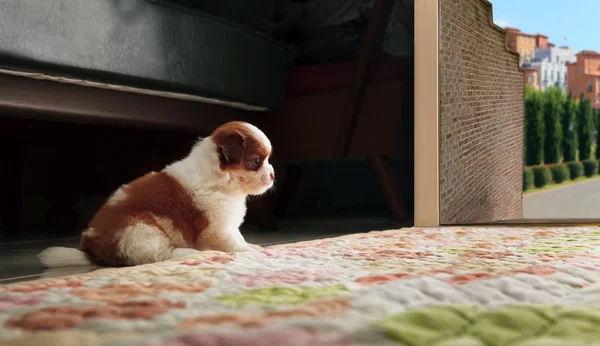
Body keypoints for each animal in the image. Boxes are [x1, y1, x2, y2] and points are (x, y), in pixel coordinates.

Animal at [39, 121, 276, 268]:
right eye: (256, 161)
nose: (273, 175)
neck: (222, 180)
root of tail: (92, 250)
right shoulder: (219, 228)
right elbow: (234, 243)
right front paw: (252, 250)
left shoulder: (228, 225)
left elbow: (239, 236)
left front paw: (251, 246)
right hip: (142, 230)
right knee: (156, 256)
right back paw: (195, 253)